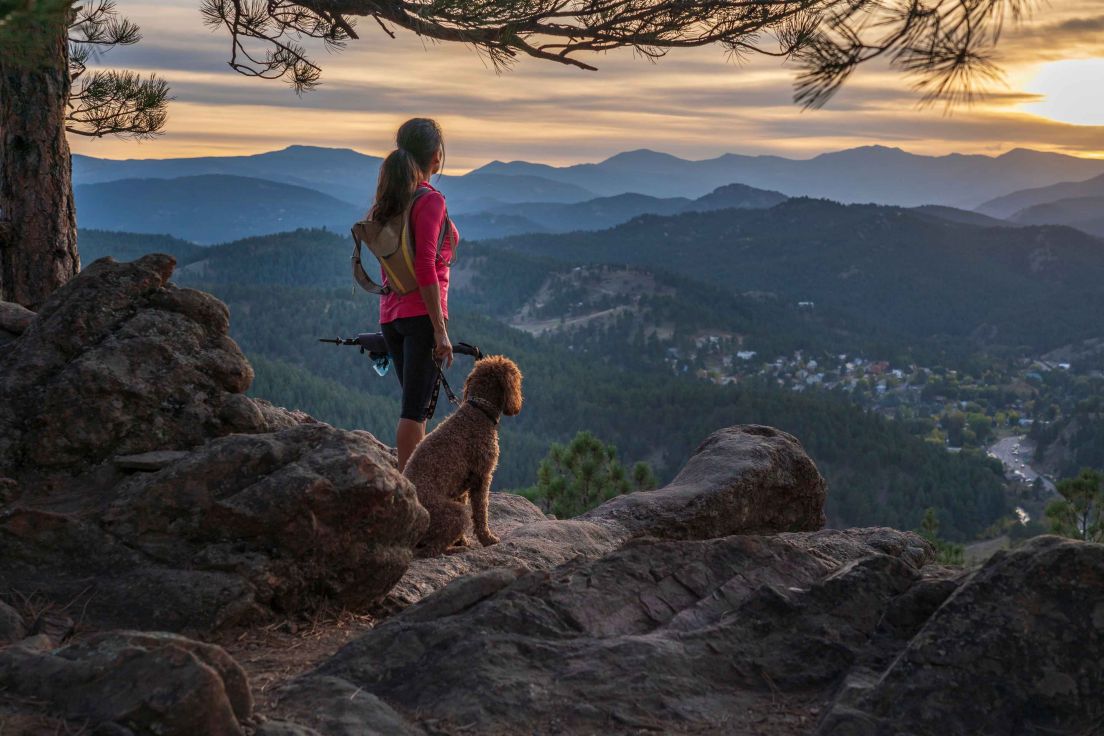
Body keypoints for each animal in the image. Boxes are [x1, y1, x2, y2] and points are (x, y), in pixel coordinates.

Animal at [404, 357, 523, 558]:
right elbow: (482, 512)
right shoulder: (482, 477)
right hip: (456, 514)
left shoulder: (461, 487)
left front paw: (464, 539)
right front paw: (487, 539)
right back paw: (455, 549)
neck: (479, 410)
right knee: (432, 549)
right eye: (515, 375)